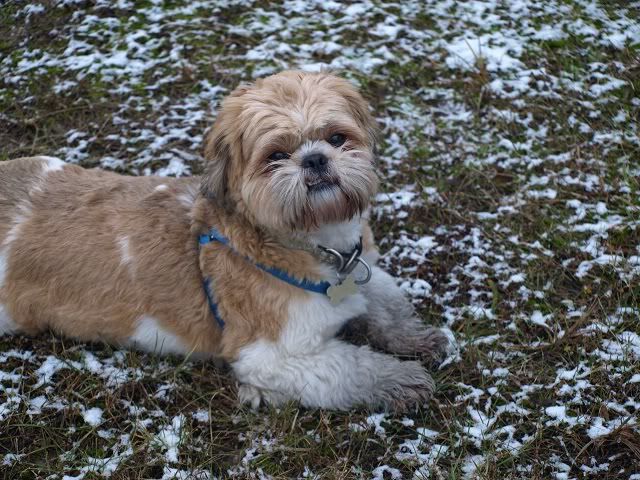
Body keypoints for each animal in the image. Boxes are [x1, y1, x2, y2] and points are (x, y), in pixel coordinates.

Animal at [0, 70, 448, 411]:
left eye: (337, 138)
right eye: (275, 156)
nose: (315, 159)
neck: (317, 244)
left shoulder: (361, 269)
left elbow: (386, 303)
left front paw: (414, 337)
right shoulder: (269, 355)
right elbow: (351, 368)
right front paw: (401, 379)